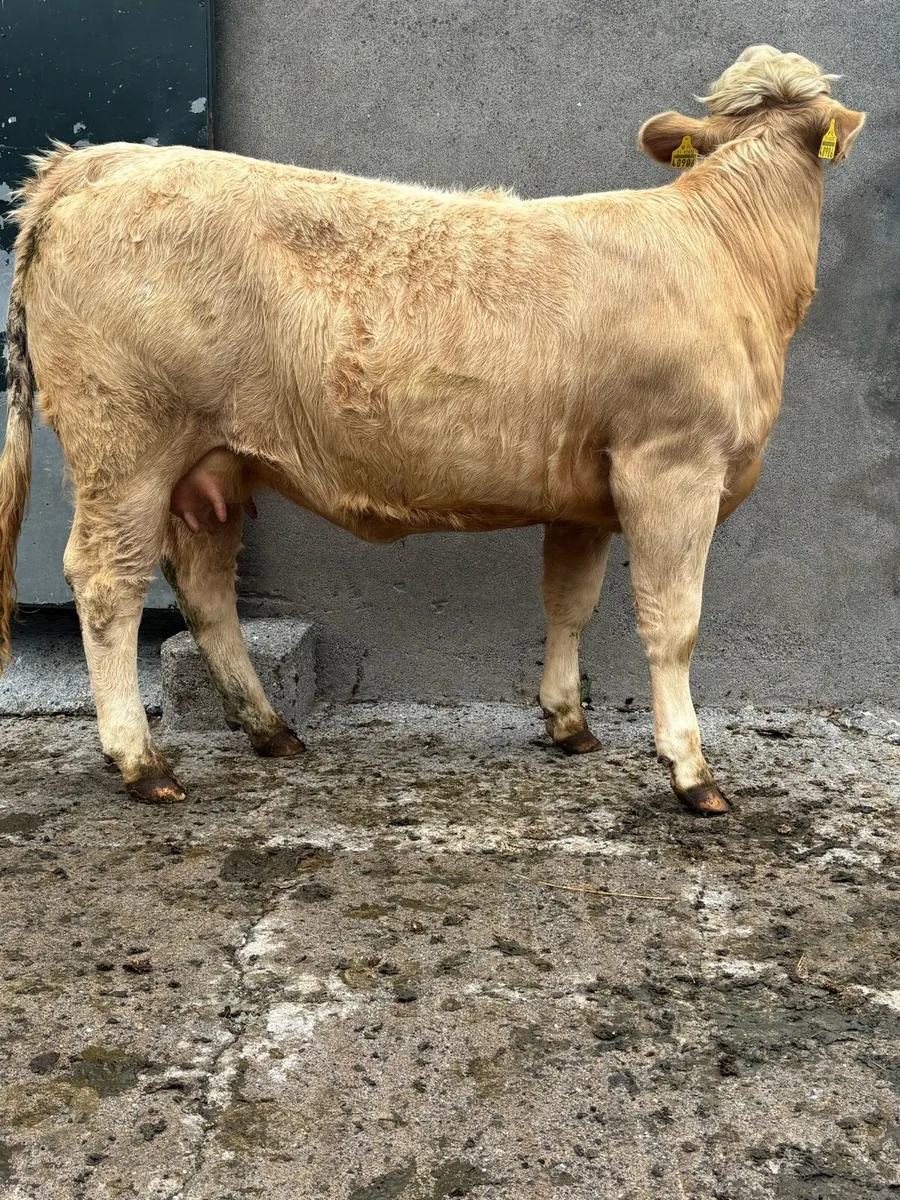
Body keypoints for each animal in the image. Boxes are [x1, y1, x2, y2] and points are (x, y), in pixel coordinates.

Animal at [0, 46, 864, 813]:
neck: (730, 253)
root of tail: (93, 160)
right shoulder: (673, 463)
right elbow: (673, 624)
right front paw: (690, 770)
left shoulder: (584, 491)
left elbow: (570, 603)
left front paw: (568, 723)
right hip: (125, 445)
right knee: (107, 584)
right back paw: (141, 761)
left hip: (209, 462)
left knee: (204, 587)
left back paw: (271, 730)